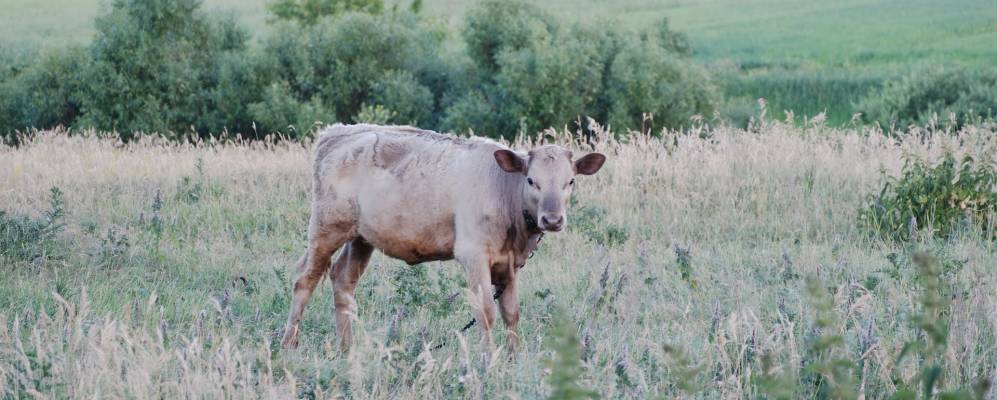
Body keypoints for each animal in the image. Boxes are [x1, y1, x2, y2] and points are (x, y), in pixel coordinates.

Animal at [280, 124, 608, 354]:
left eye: (570, 181)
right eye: (531, 180)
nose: (552, 219)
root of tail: (337, 133)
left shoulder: (511, 264)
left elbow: (511, 312)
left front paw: (516, 358)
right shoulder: (473, 255)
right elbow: (486, 311)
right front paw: (489, 360)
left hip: (361, 238)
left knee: (343, 280)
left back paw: (347, 349)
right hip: (326, 228)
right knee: (305, 280)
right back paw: (288, 345)